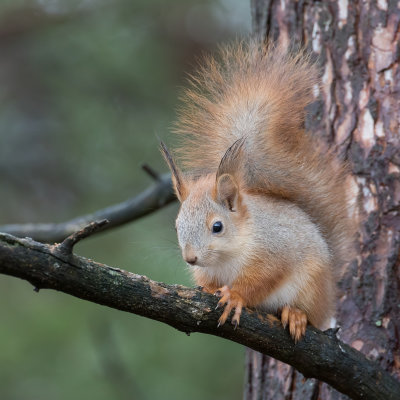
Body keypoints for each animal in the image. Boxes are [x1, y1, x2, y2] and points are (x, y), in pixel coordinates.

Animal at [159, 40, 354, 340]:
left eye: (217, 227)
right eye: (177, 225)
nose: (190, 259)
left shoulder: (274, 252)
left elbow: (260, 281)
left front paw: (235, 296)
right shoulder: (209, 271)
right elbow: (208, 281)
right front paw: (210, 289)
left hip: (312, 286)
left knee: (310, 314)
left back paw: (296, 315)